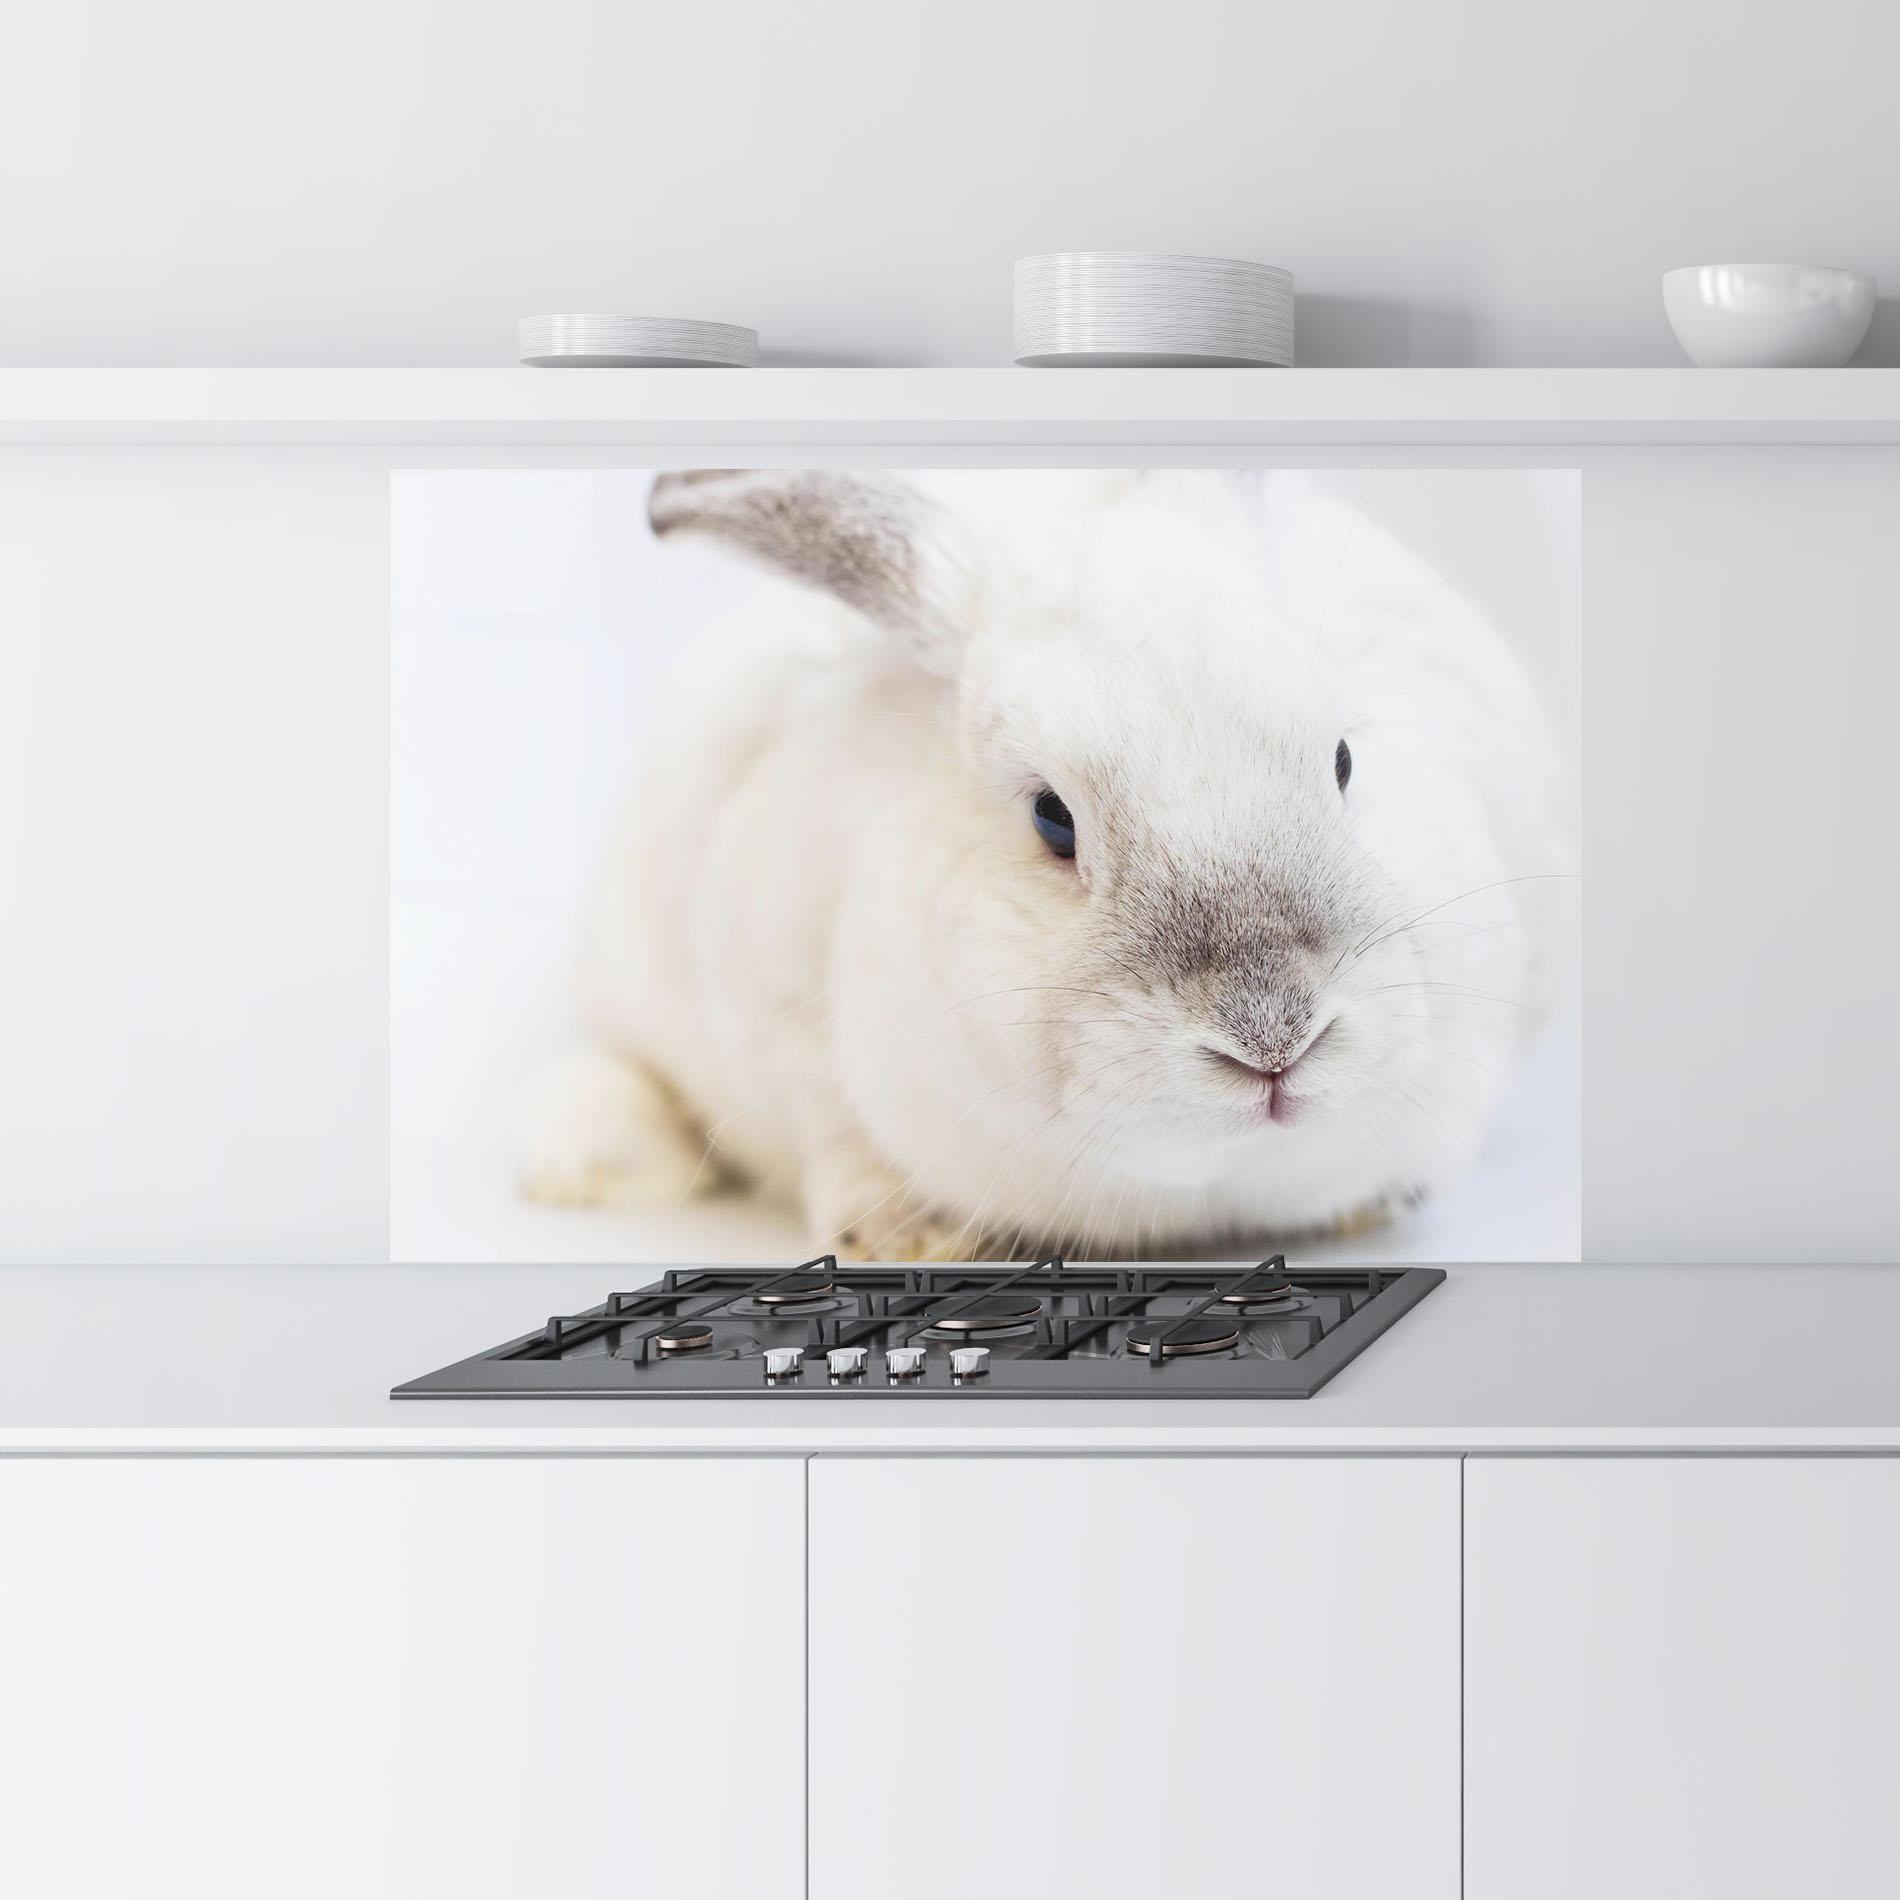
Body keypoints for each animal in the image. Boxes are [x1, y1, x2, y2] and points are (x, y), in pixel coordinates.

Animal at [519, 468, 1574, 1260]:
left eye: (1346, 760)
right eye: (1052, 819)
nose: (1274, 1037)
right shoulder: (779, 1021)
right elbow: (838, 1139)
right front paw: (912, 1238)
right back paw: (582, 1164)